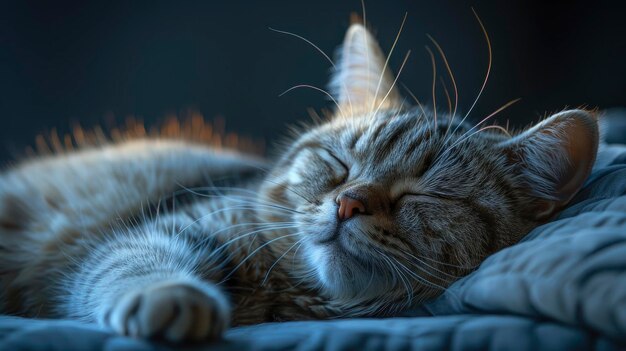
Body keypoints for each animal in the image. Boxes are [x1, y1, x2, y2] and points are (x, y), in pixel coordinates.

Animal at [0, 19, 596, 344]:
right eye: (339, 165)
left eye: (425, 194)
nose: (348, 203)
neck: (284, 297)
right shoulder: (161, 230)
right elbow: (137, 263)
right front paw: (173, 297)